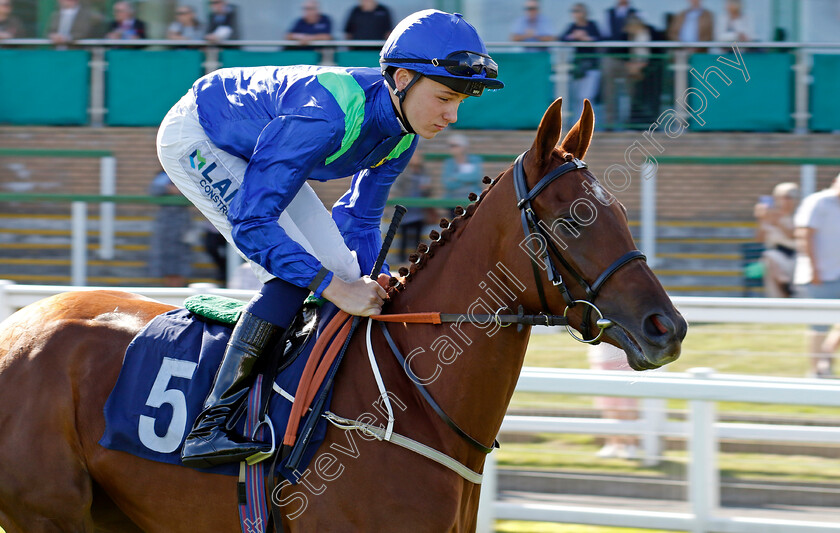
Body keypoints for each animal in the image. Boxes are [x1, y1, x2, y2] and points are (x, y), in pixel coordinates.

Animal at [0, 98, 684, 528]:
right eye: (573, 219)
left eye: (622, 211)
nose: (667, 327)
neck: (413, 404)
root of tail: (18, 326)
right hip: (48, 514)